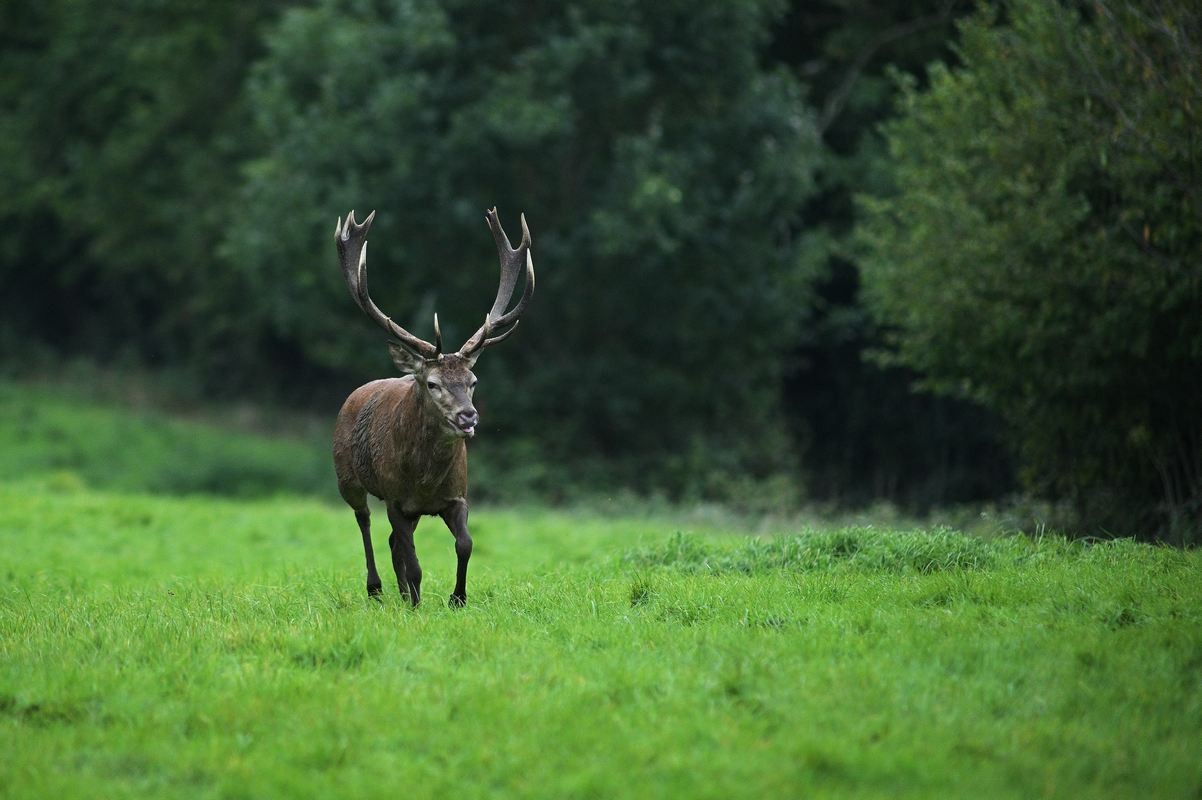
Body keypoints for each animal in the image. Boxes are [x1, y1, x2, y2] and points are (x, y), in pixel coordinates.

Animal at [331, 206, 533, 605]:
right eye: (432, 383)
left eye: (472, 381)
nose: (468, 416)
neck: (424, 481)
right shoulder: (395, 498)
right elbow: (414, 562)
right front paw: (418, 601)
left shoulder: (456, 496)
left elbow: (465, 544)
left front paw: (458, 598)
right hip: (347, 477)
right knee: (365, 523)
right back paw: (377, 589)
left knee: (392, 541)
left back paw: (400, 593)